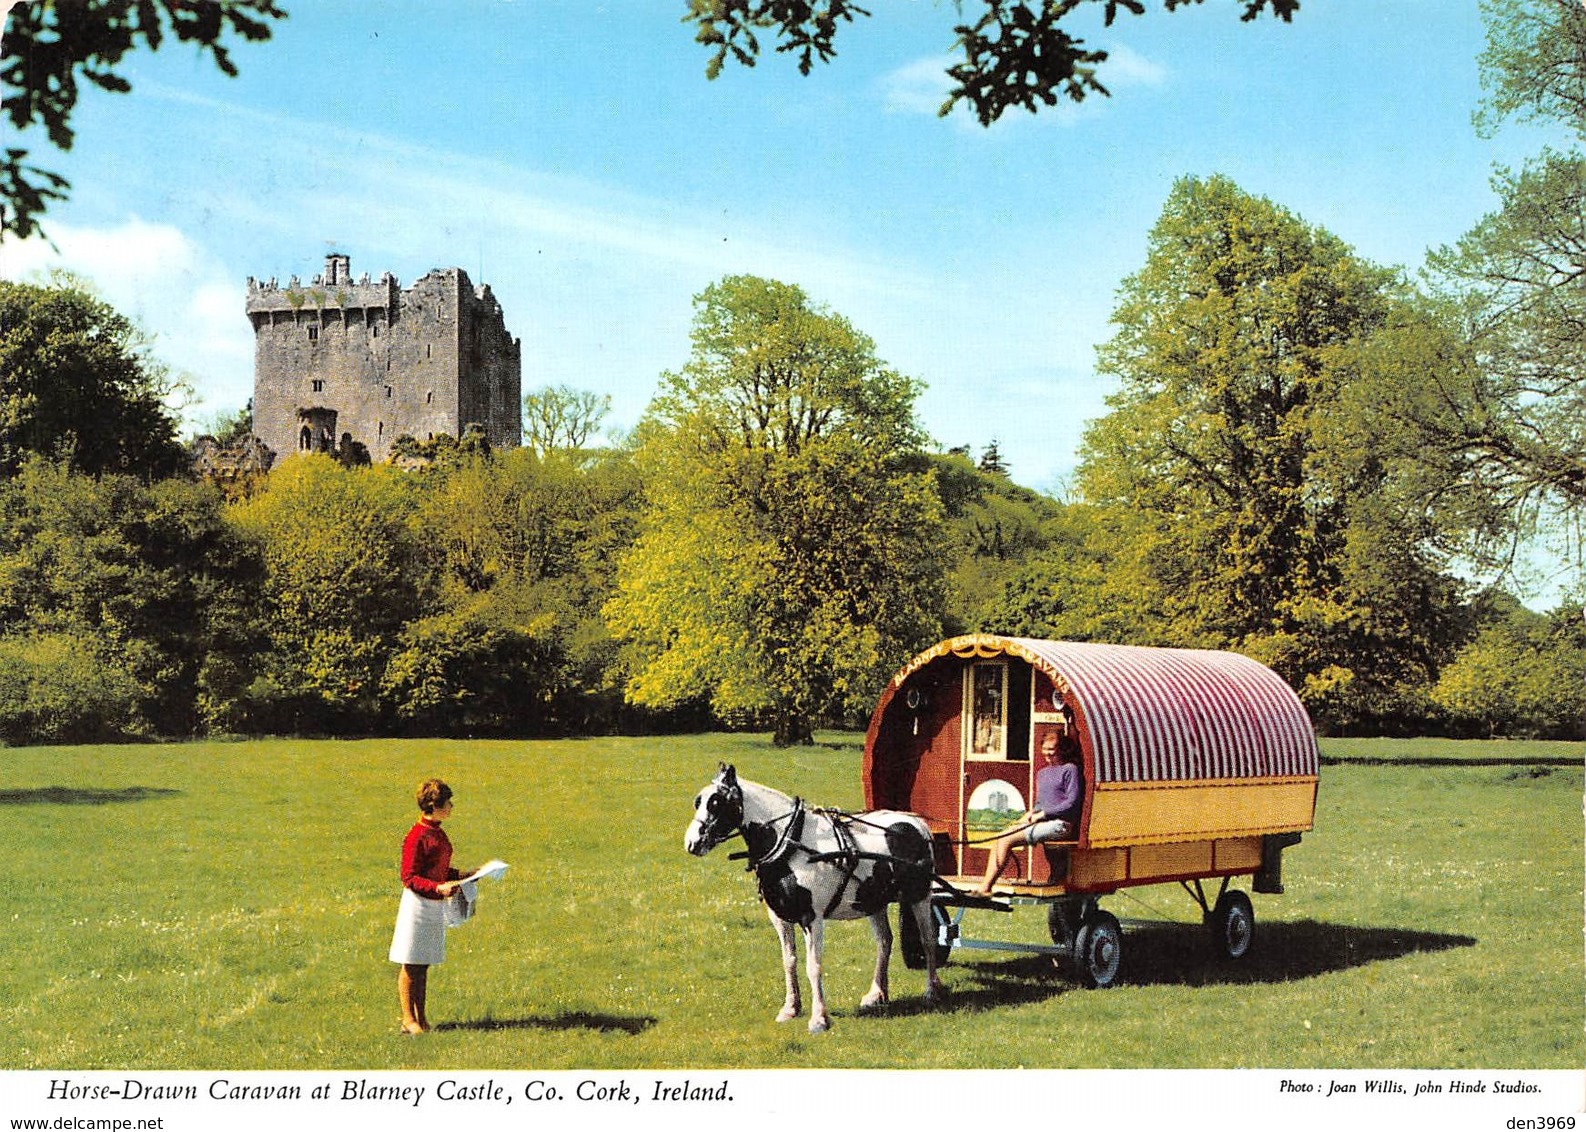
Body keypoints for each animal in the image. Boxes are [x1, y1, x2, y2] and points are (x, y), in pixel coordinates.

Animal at [685, 764, 938, 1027]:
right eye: (698, 801)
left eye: (716, 802)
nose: (692, 843)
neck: (791, 844)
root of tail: (916, 822)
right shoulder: (780, 917)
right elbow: (789, 961)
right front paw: (790, 1008)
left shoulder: (811, 918)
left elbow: (813, 965)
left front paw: (819, 1018)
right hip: (873, 901)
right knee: (884, 941)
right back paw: (878, 993)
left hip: (920, 896)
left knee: (928, 939)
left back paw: (931, 991)